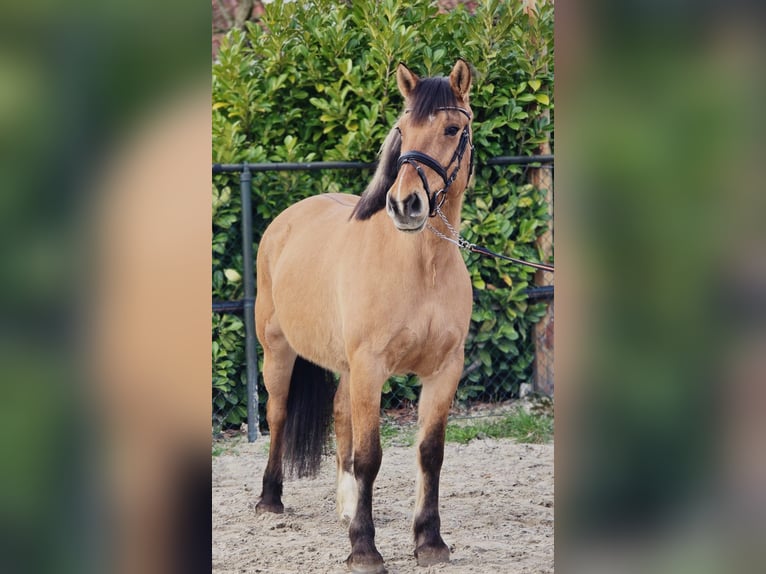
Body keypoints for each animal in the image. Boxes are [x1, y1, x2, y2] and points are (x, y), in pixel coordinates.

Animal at [254, 59, 475, 573]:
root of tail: (286, 220)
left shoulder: (443, 370)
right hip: (278, 350)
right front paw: (364, 549)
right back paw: (270, 499)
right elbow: (370, 455)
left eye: (452, 129)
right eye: (403, 130)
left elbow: (429, 453)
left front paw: (429, 541)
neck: (421, 267)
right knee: (277, 414)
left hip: (346, 367)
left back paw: (346, 506)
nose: (405, 204)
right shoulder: (371, 367)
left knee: (339, 415)